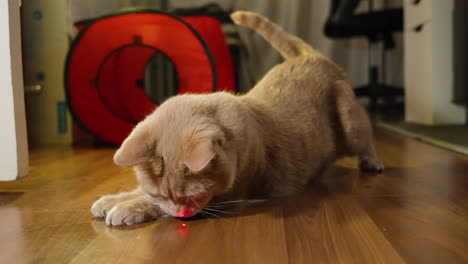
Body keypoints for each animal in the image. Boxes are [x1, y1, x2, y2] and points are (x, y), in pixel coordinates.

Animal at [89, 9, 382, 225]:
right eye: (159, 193)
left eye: (193, 196)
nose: (180, 214)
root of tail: (311, 56)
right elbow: (138, 192)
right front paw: (113, 200)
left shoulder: (226, 196)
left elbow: (149, 203)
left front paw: (128, 208)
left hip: (352, 124)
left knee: (366, 140)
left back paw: (372, 162)